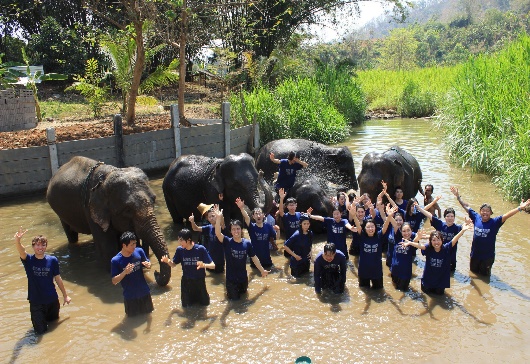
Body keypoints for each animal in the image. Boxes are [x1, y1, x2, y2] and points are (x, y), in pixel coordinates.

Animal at [46, 156, 169, 288]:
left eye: (154, 200)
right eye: (127, 209)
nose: (156, 273)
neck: (106, 178)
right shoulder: (90, 210)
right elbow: (108, 247)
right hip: (60, 212)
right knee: (71, 234)